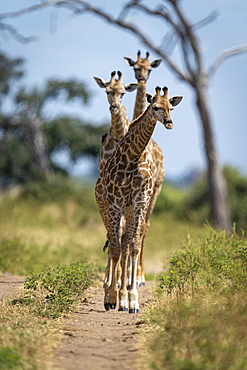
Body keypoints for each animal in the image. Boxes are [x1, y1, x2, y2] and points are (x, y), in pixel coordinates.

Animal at [95, 86, 182, 312]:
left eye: (171, 108)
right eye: (155, 106)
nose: (169, 122)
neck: (132, 157)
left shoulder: (140, 200)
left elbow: (133, 245)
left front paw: (132, 300)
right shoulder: (115, 201)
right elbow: (115, 248)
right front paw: (112, 297)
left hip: (129, 208)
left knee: (125, 241)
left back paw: (123, 296)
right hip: (104, 205)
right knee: (113, 240)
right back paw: (109, 290)